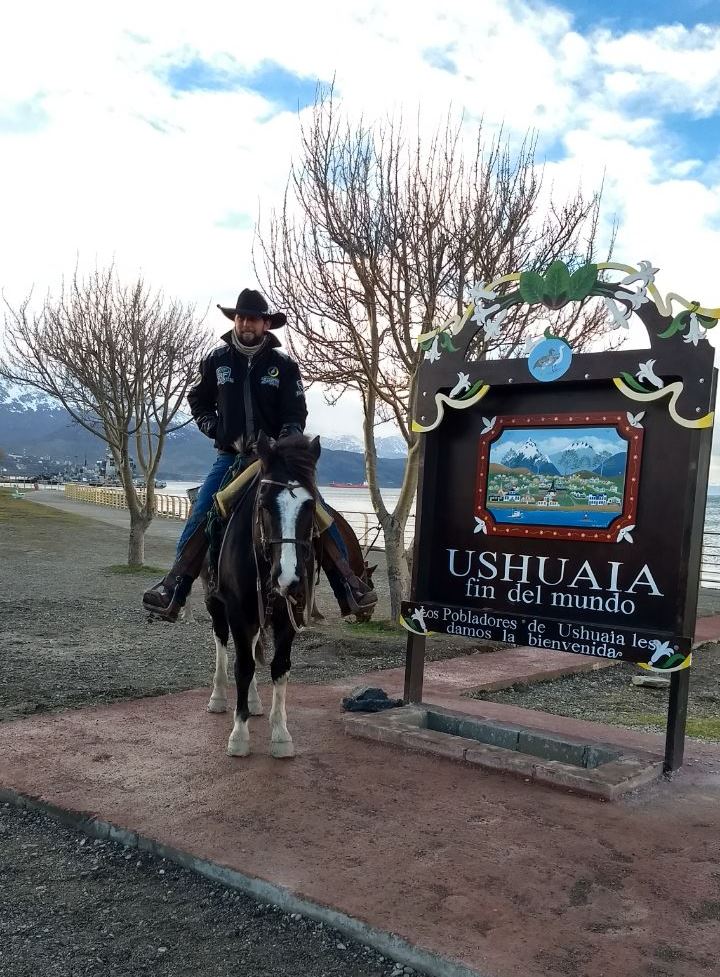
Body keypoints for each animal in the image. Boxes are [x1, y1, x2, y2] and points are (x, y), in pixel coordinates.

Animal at [201, 430, 316, 760]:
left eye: (312, 505)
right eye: (263, 504)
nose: (288, 577)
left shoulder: (289, 614)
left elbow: (279, 667)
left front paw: (281, 734)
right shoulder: (238, 611)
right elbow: (243, 666)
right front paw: (239, 735)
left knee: (251, 649)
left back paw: (252, 701)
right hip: (216, 604)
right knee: (223, 642)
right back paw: (219, 697)